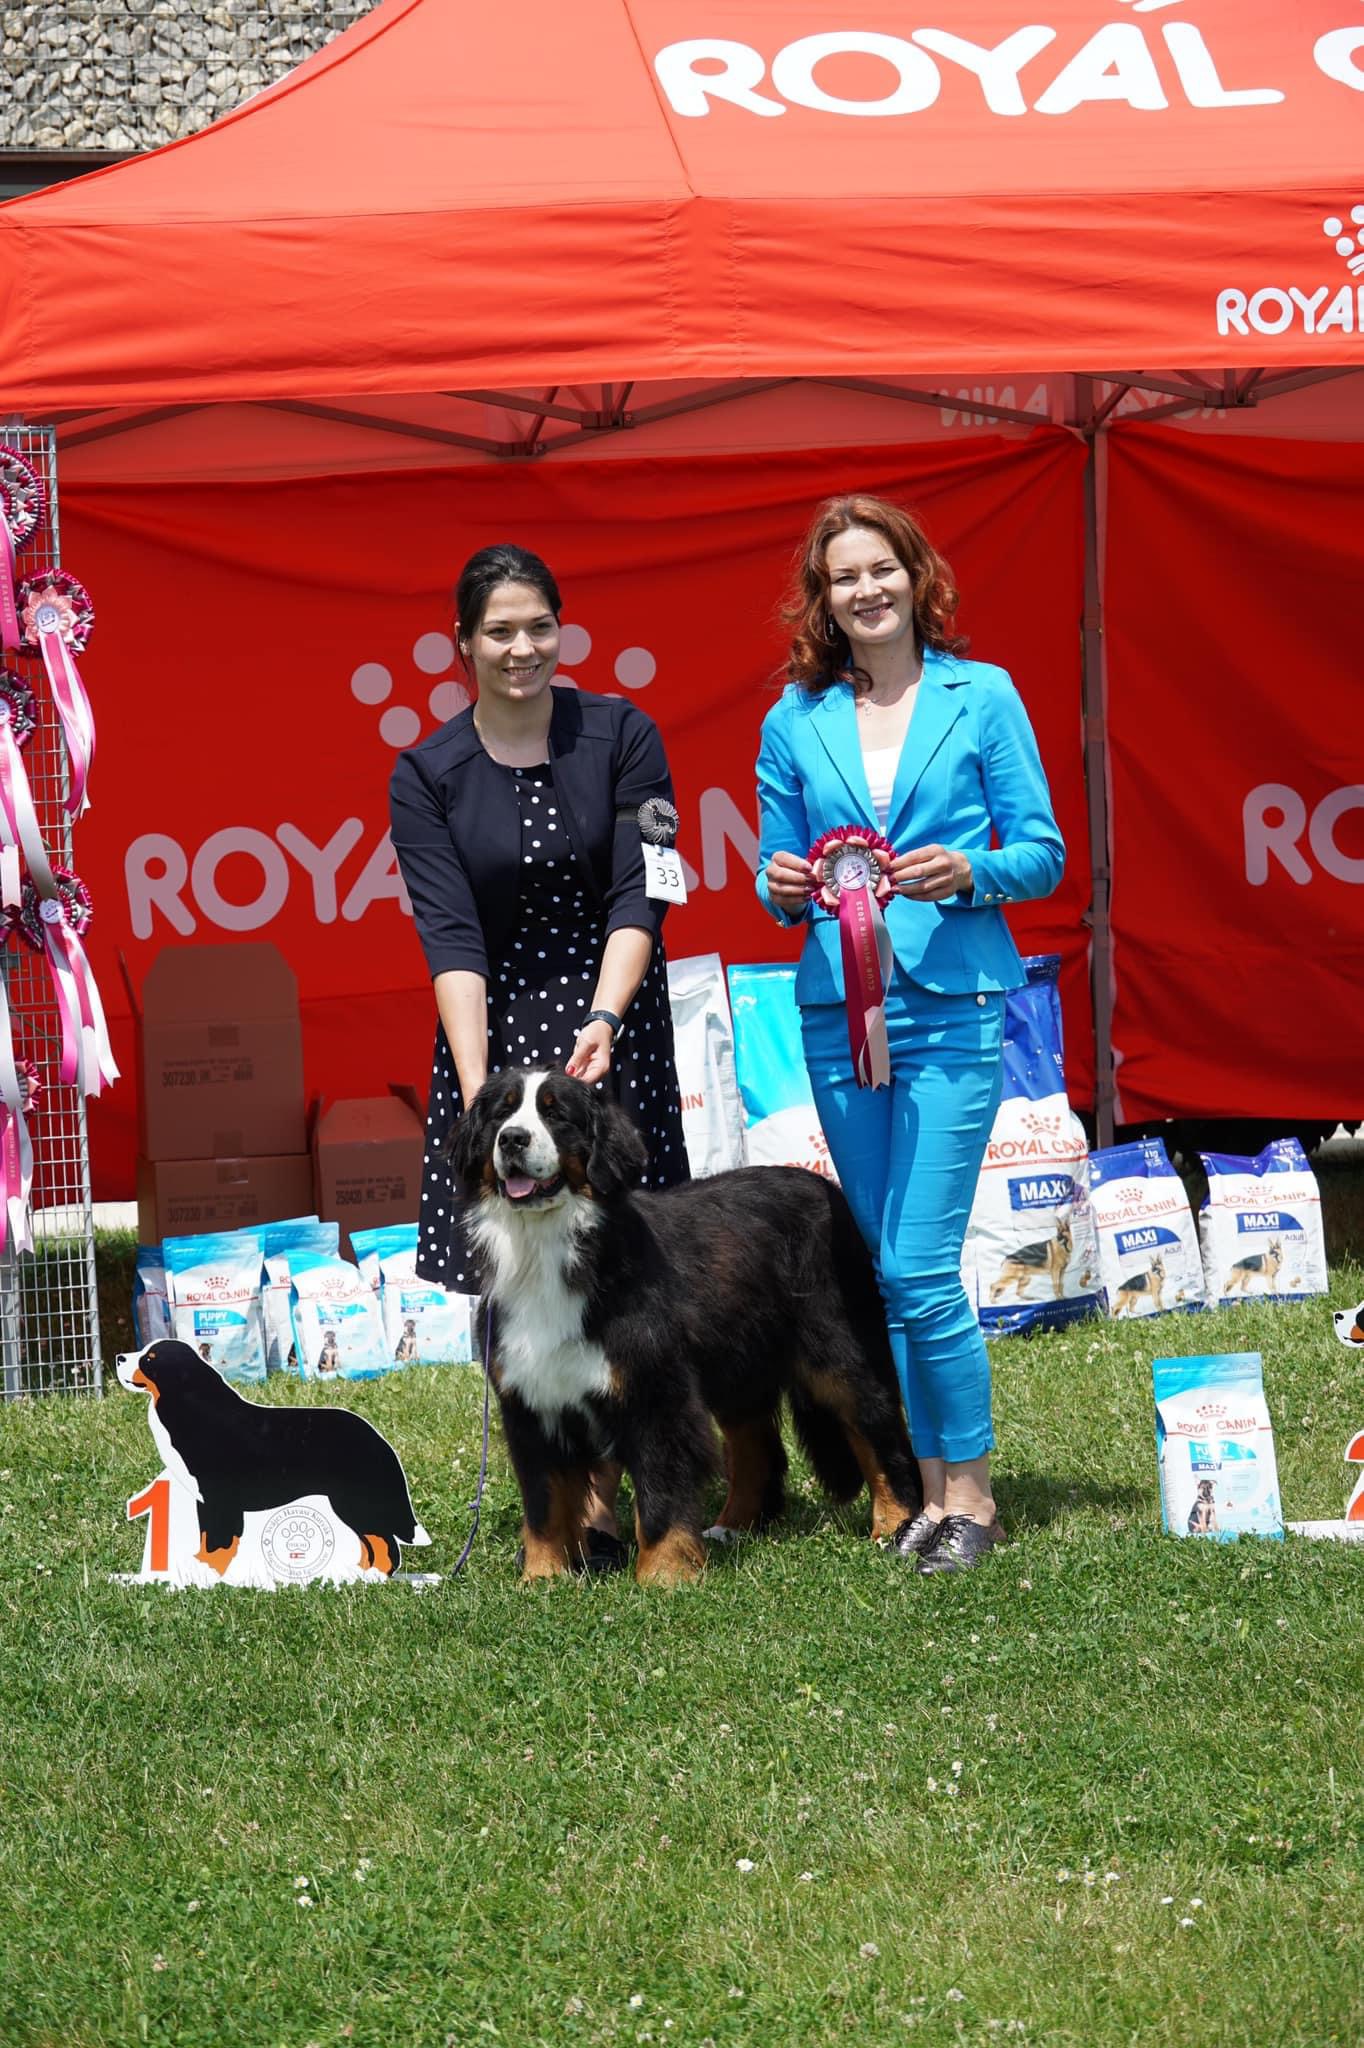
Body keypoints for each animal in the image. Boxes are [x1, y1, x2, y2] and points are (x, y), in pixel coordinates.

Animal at [116, 1340, 429, 1576]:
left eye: (149, 1359)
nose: (119, 1357)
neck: (192, 1408)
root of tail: (376, 1438)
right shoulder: (205, 1501)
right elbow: (207, 1539)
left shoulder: (220, 1498)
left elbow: (219, 1541)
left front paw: (209, 1573)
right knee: (372, 1542)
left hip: (355, 1501)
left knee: (385, 1544)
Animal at [449, 1069, 921, 1585]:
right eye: (502, 1112)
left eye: (556, 1115)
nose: (512, 1139)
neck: (547, 1249)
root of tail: (827, 1187)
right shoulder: (531, 1402)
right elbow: (545, 1502)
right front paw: (542, 1578)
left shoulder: (654, 1392)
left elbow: (662, 1492)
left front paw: (665, 1574)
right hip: (737, 1366)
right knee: (757, 1448)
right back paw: (733, 1526)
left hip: (838, 1353)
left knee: (879, 1432)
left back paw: (895, 1525)